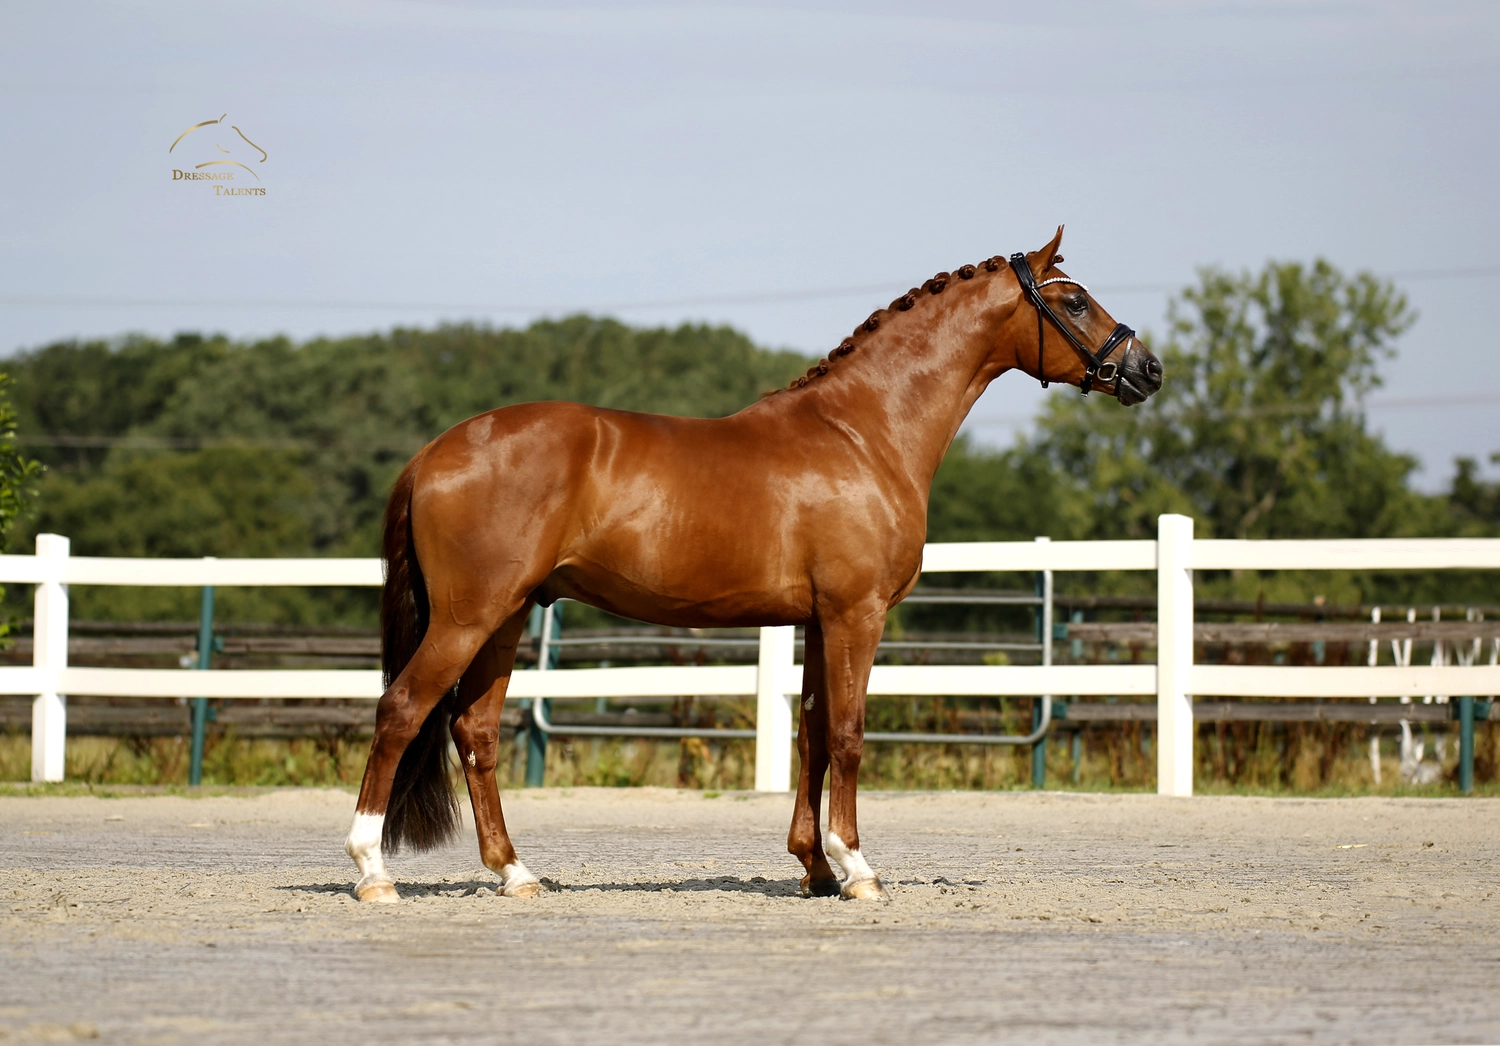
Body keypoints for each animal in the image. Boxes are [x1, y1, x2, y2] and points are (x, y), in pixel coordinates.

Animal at [345, 226, 1163, 903]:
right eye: (1074, 300)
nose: (1147, 369)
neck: (863, 432)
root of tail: (435, 451)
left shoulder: (817, 620)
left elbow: (811, 732)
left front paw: (814, 868)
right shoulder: (856, 614)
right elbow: (849, 734)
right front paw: (857, 868)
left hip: (508, 616)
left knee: (475, 731)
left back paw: (515, 873)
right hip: (468, 617)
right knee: (401, 711)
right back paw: (373, 872)